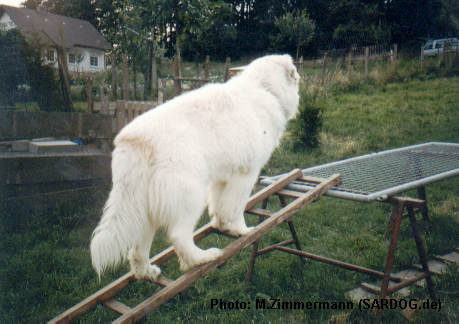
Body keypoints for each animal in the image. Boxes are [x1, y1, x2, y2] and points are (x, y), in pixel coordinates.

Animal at [91, 54, 300, 280]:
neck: (265, 88)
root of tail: (137, 141)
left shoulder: (222, 178)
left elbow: (220, 207)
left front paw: (222, 225)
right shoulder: (245, 175)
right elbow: (235, 208)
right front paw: (242, 231)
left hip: (143, 209)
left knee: (137, 249)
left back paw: (147, 272)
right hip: (191, 196)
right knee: (178, 236)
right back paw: (201, 258)